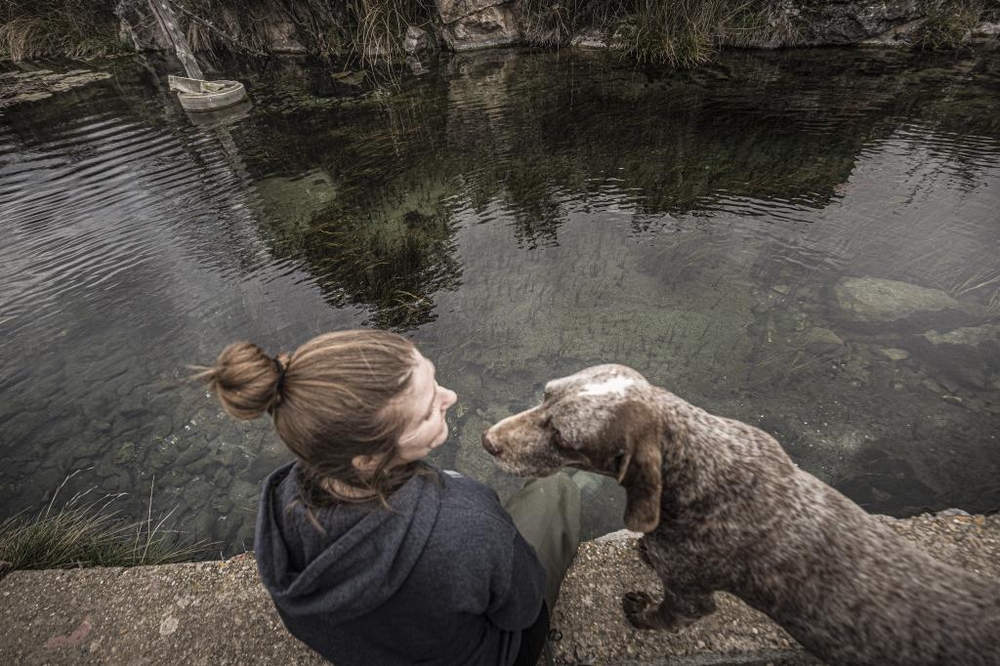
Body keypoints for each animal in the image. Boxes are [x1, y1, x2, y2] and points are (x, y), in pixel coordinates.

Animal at [480, 364, 996, 664]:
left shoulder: (689, 596)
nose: (487, 441)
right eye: (545, 394)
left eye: (564, 439)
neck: (705, 464)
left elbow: (663, 614)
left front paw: (640, 612)